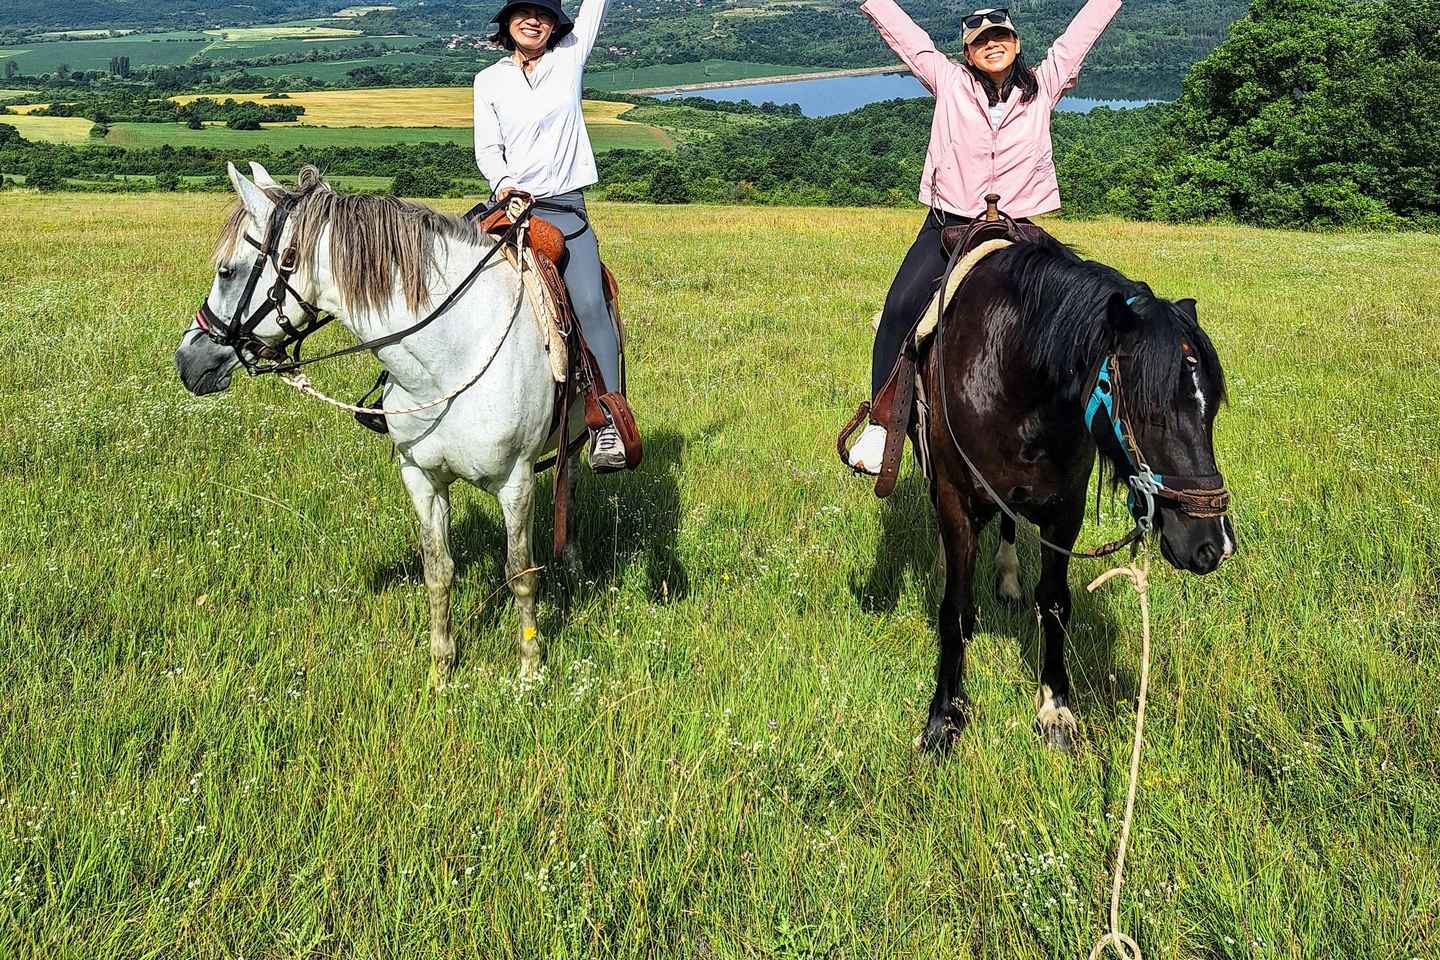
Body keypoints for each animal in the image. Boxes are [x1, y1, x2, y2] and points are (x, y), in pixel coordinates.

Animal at [175, 162, 576, 689]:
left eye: (227, 270)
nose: (187, 360)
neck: (449, 356)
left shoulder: (517, 482)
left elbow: (521, 574)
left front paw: (530, 672)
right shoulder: (421, 477)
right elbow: (438, 571)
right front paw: (441, 671)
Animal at [915, 232, 1235, 753]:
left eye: (1211, 412)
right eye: (1148, 410)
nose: (1212, 544)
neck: (1008, 370)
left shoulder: (1065, 510)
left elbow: (1055, 602)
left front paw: (1055, 708)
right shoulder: (954, 497)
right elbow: (955, 609)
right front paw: (943, 718)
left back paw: (1007, 579)